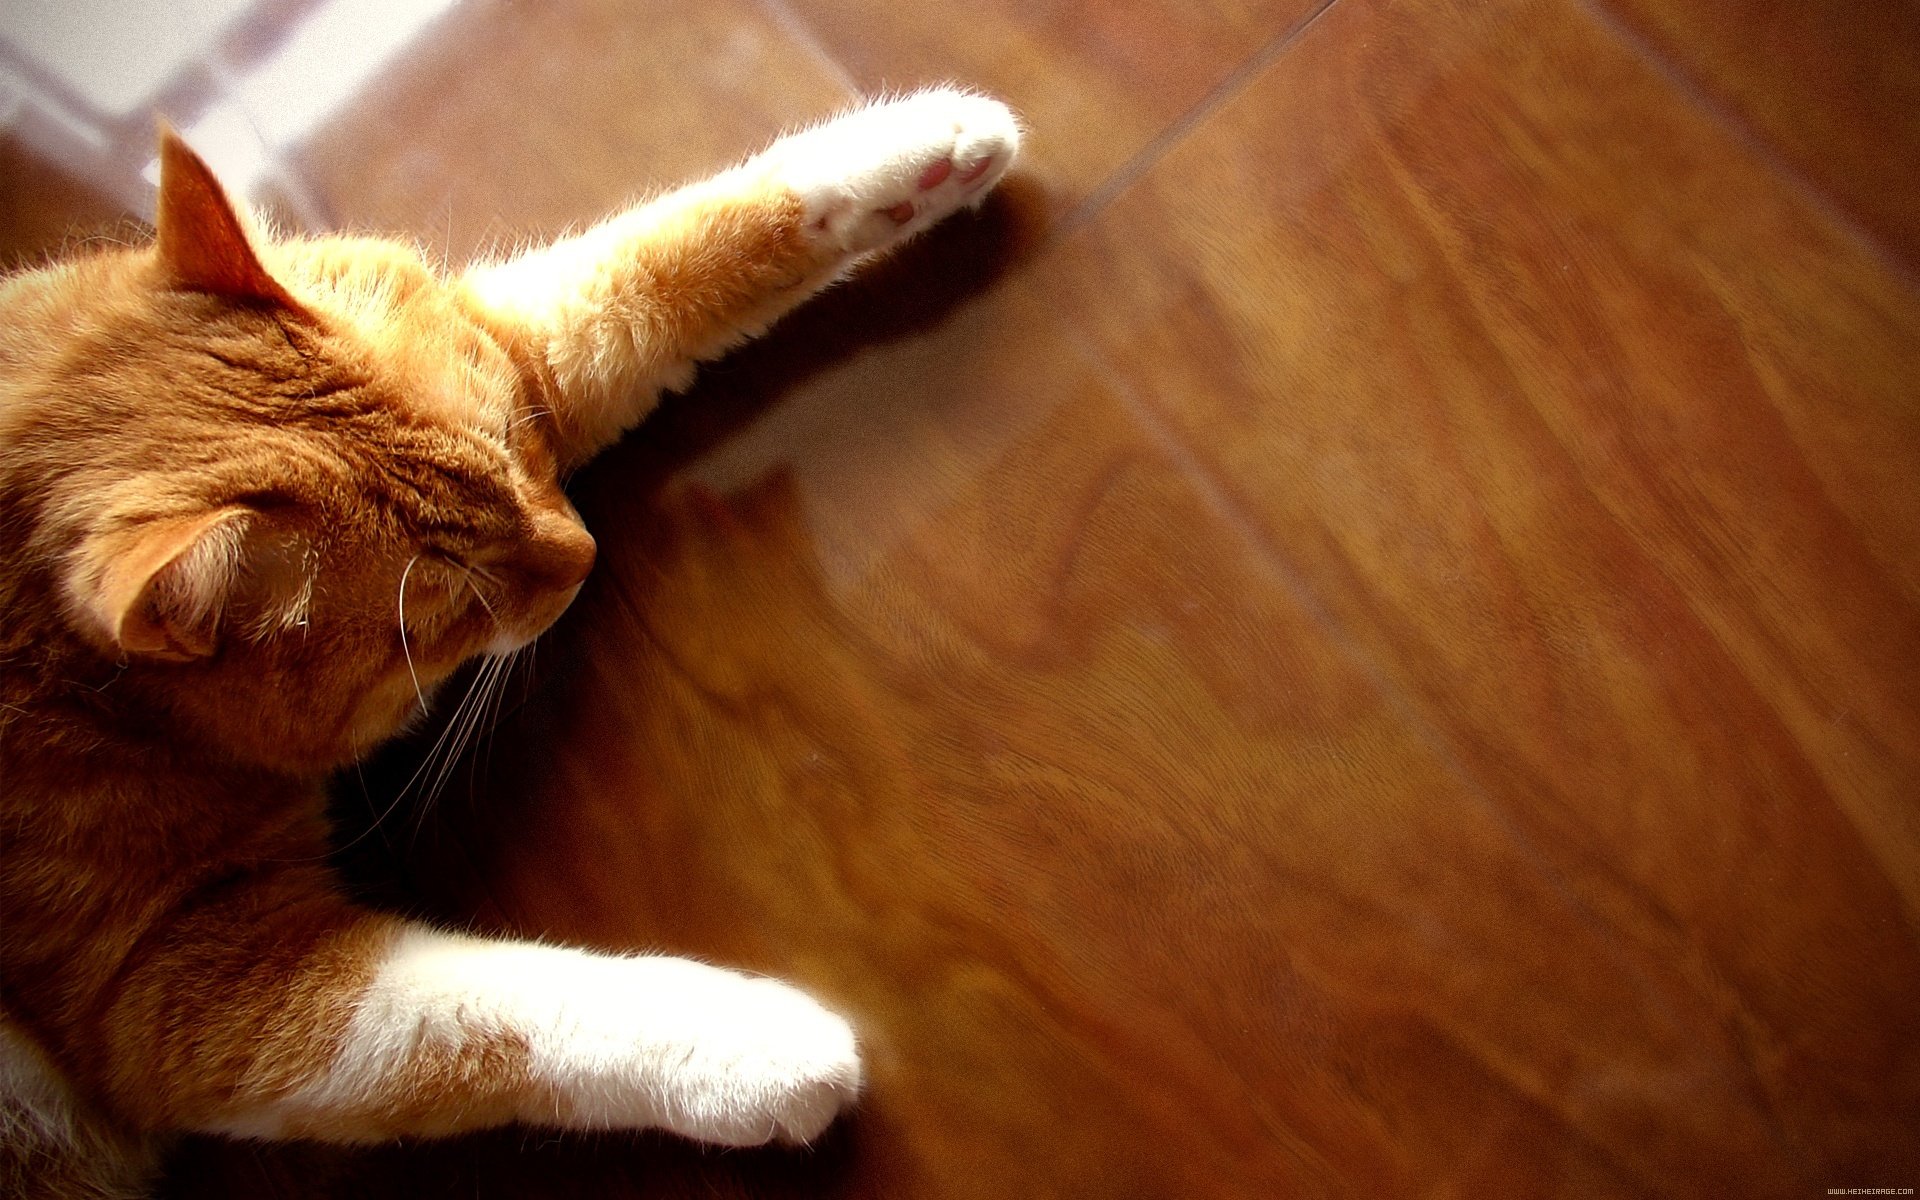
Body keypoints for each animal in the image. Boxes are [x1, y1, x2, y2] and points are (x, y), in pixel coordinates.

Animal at [0, 88, 1021, 1190]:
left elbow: (647, 267)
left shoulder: (509, 336)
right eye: (452, 609)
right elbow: (468, 1028)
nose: (585, 554)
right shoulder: (176, 990)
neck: (98, 698)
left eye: (520, 443)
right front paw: (755, 1056)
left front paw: (916, 152)